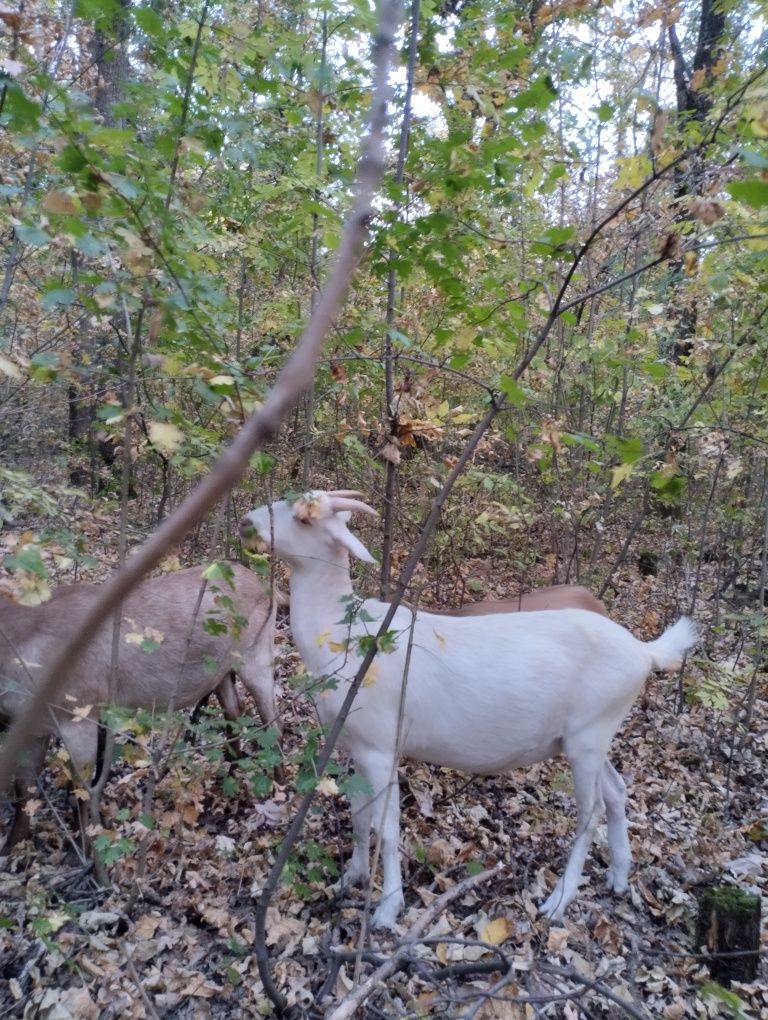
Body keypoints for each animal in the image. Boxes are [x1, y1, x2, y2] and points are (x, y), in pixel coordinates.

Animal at [0, 567, 279, 852]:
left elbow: (82, 790)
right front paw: (10, 847)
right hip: (221, 671)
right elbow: (24, 790)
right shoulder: (35, 729)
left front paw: (87, 849)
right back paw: (230, 774)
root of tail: (270, 588)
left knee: (271, 717)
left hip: (257, 651)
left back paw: (277, 788)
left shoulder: (80, 711)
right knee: (234, 709)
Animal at [242, 489, 697, 930]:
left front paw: (388, 909)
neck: (343, 633)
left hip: (589, 736)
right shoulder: (353, 742)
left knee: (591, 813)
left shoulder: (381, 744)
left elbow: (386, 828)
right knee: (617, 792)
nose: (247, 523)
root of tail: (645, 652)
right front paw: (350, 877)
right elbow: (358, 814)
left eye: (305, 517)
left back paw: (559, 901)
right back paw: (618, 876)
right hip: (588, 736)